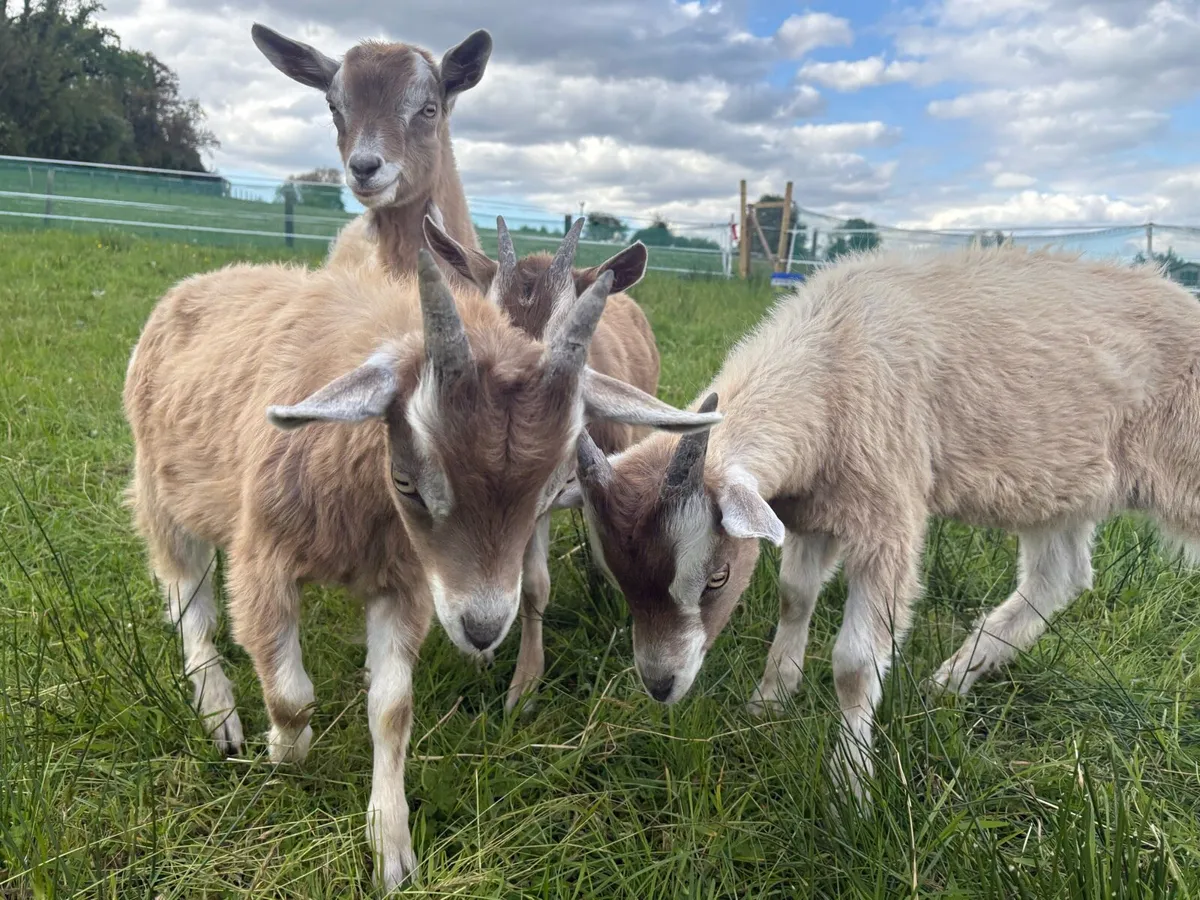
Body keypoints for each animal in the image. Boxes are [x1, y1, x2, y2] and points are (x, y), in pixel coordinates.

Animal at [565, 243, 1200, 799]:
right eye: (617, 577)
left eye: (716, 578)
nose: (660, 685)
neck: (834, 353)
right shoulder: (813, 512)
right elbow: (794, 596)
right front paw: (771, 698)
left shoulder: (887, 517)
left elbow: (853, 664)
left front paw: (850, 786)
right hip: (1058, 484)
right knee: (1059, 576)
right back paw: (953, 680)